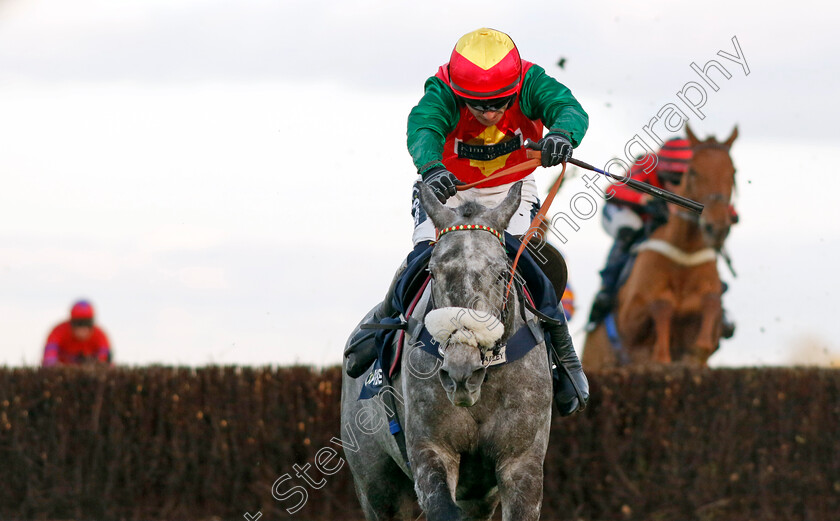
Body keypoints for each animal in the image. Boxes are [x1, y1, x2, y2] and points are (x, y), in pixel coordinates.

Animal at [338, 182, 556, 520]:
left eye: (501, 273)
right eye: (432, 271)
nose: (461, 372)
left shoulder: (521, 461)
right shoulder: (431, 450)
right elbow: (442, 507)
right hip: (376, 484)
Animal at [584, 125, 736, 366]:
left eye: (733, 173)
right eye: (693, 171)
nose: (717, 227)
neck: (684, 254)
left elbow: (712, 303)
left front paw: (698, 348)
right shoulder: (630, 318)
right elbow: (661, 305)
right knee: (626, 232)